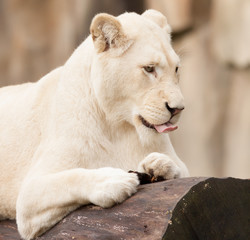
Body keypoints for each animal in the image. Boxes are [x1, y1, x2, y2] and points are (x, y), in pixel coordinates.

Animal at [0, 10, 188, 239]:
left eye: (176, 69)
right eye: (149, 68)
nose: (177, 109)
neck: (118, 126)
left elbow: (181, 171)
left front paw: (158, 164)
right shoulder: (29, 198)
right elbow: (71, 178)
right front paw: (114, 180)